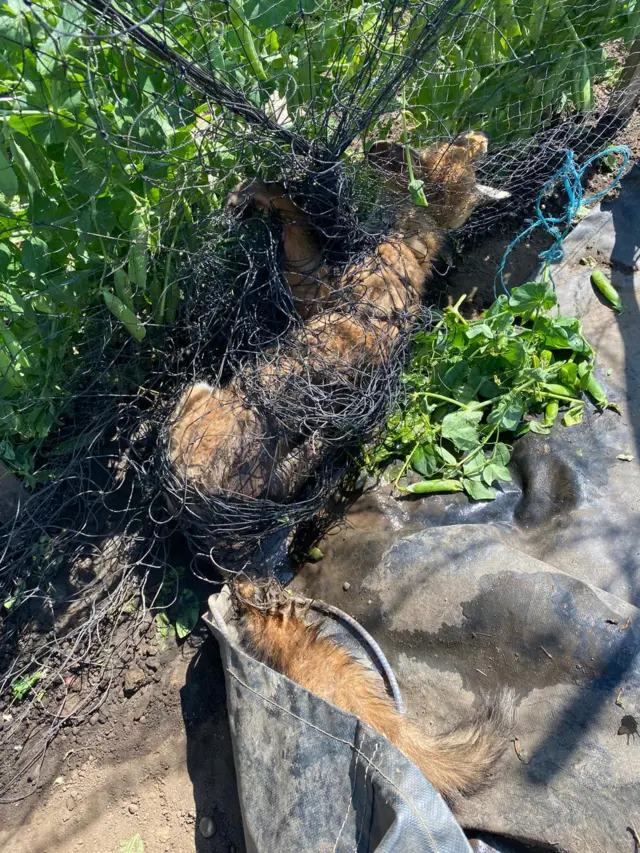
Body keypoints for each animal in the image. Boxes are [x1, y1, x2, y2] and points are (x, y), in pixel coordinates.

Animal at [169, 131, 490, 500]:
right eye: (456, 144)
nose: (479, 136)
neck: (408, 240)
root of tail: (202, 487)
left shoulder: (315, 287)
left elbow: (292, 215)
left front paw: (252, 192)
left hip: (195, 393)